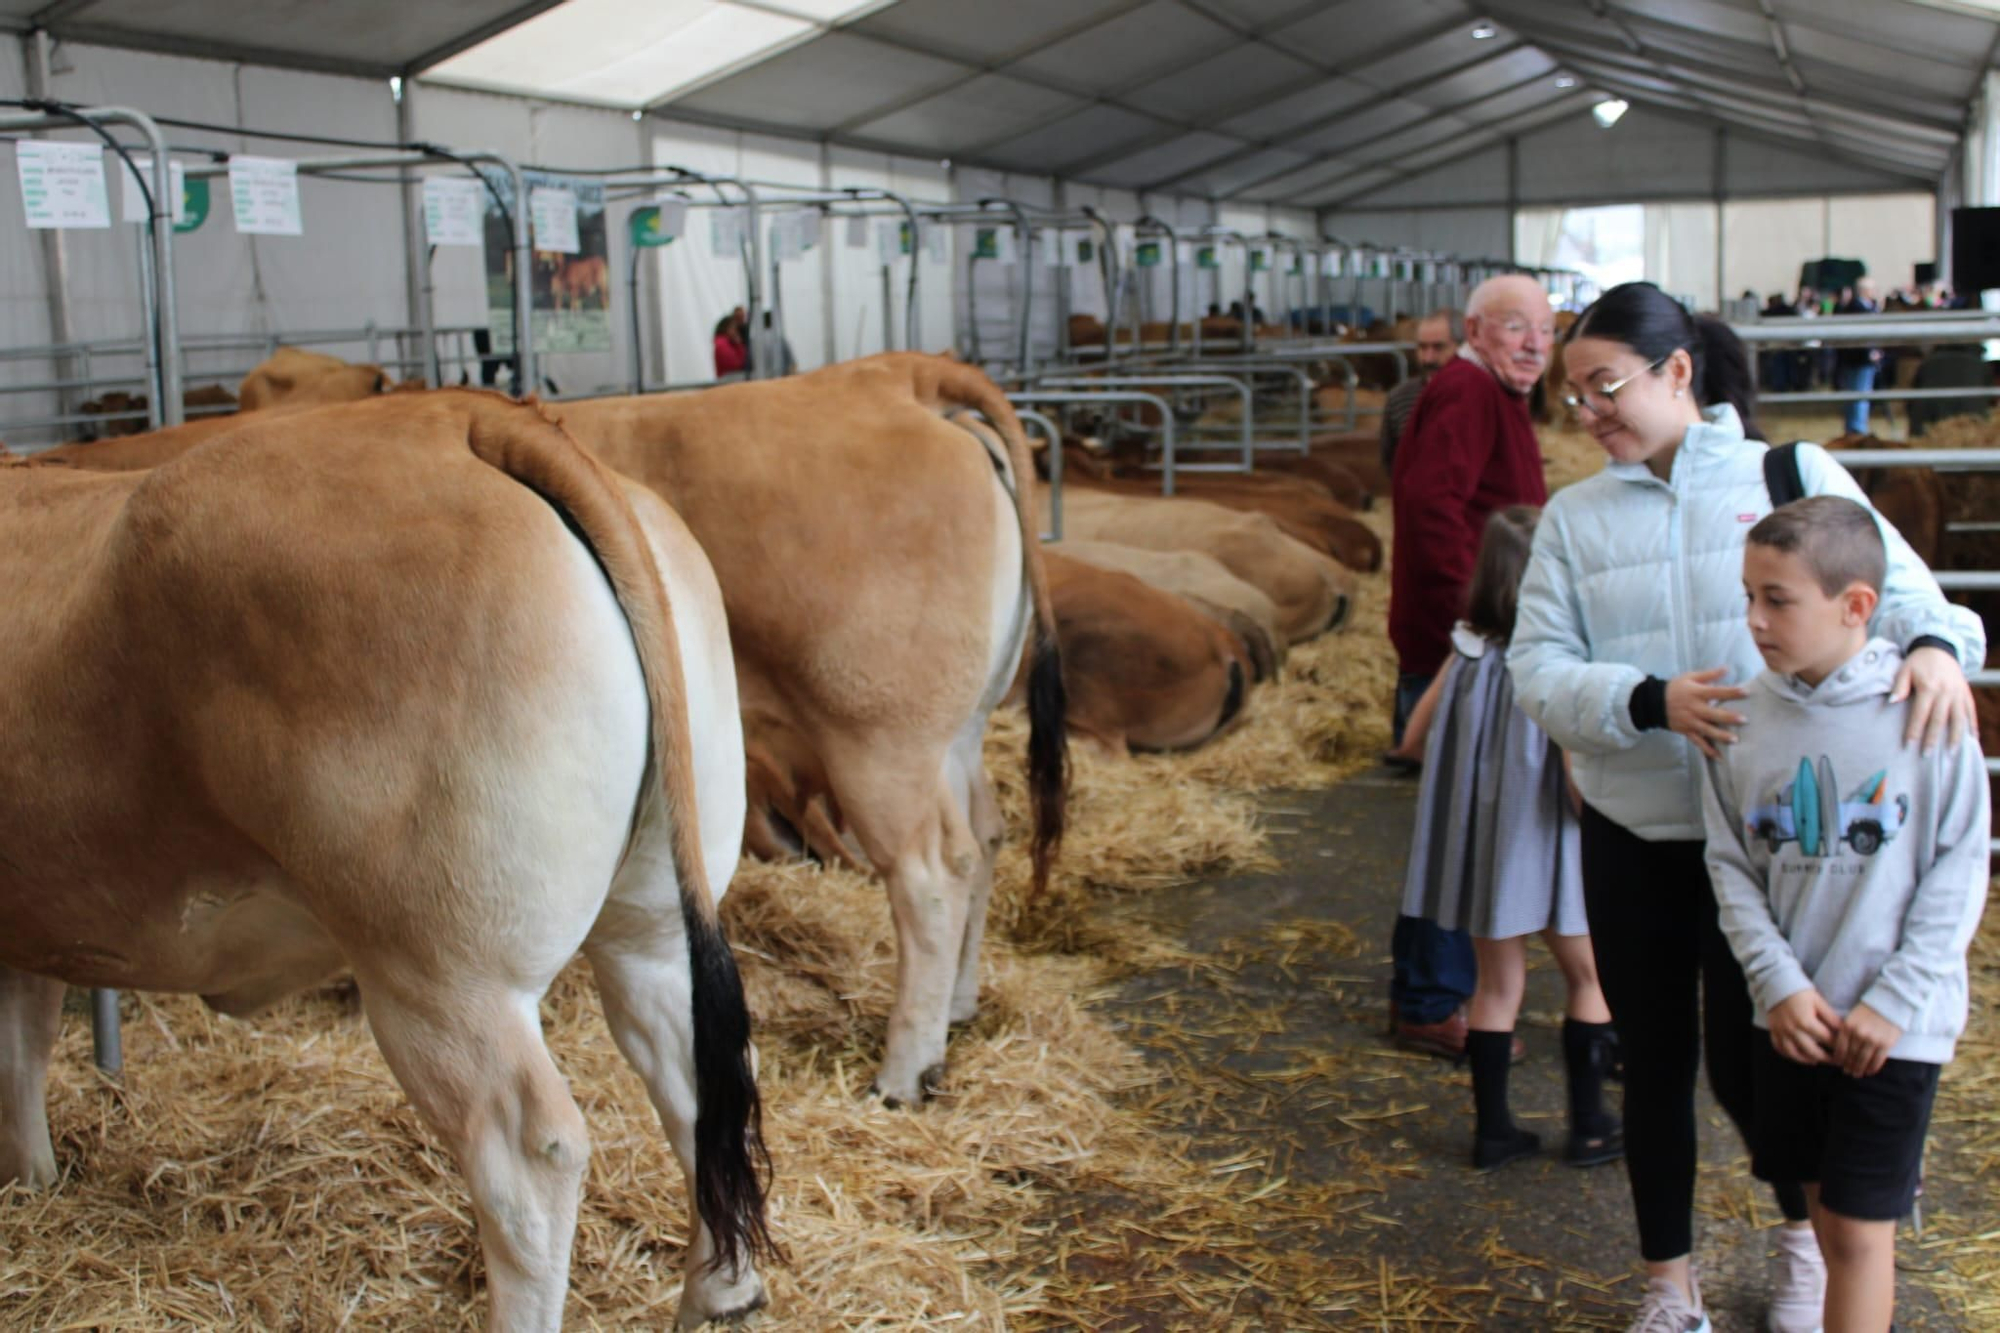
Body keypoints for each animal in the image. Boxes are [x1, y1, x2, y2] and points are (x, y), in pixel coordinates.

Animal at [0, 390, 772, 1320]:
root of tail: (470, 415)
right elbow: (23, 1049)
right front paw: (35, 1183)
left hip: (441, 970)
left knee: (527, 1155)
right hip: (652, 918)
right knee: (699, 1079)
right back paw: (721, 1295)